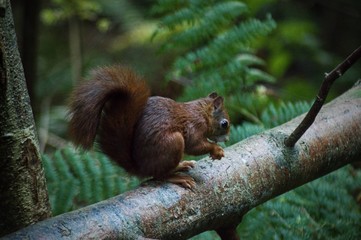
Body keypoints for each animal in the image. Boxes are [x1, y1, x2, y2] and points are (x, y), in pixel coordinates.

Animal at [69, 64, 229, 188]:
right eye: (224, 123)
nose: (227, 139)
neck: (202, 113)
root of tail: (141, 168)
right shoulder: (195, 125)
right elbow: (194, 145)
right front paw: (216, 149)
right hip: (173, 142)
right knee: (159, 175)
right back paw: (177, 177)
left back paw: (181, 165)